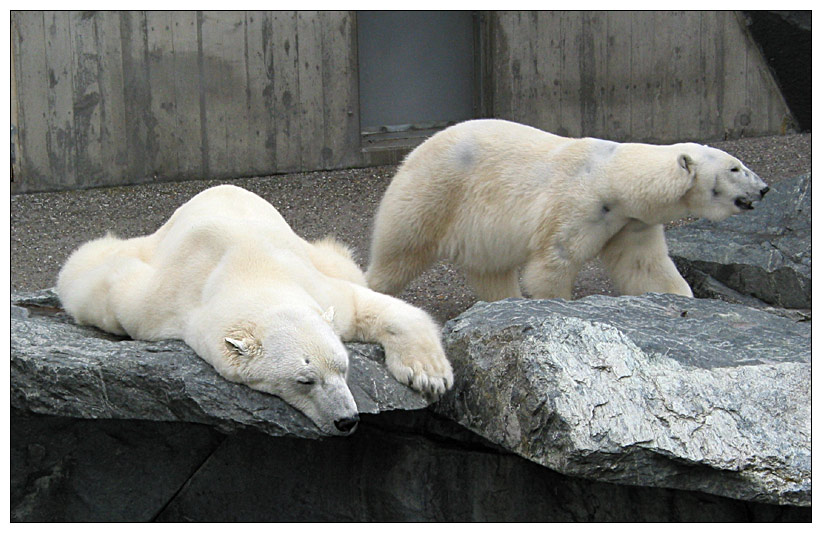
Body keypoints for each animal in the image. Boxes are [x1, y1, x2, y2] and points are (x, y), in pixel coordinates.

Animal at [56, 185, 458, 434]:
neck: (251, 268)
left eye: (343, 368)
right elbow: (109, 286)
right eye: (305, 380)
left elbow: (370, 305)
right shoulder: (160, 303)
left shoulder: (316, 286)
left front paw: (429, 375)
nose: (346, 420)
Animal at [368, 119, 772, 300]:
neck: (612, 176)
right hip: (434, 193)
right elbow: (553, 262)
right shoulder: (577, 205)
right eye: (735, 168)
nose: (764, 188)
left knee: (491, 270)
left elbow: (645, 266)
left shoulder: (630, 221)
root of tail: (413, 153)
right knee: (399, 252)